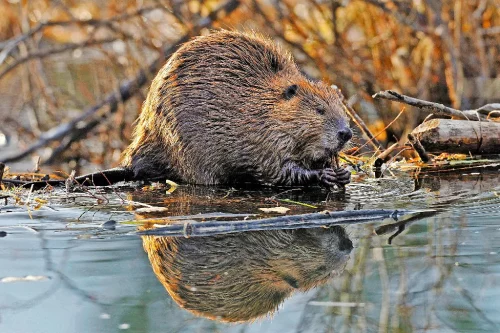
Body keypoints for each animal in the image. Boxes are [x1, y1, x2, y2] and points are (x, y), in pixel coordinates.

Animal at [119, 29, 352, 187]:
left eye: (343, 111)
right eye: (319, 110)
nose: (346, 133)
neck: (262, 107)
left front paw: (342, 173)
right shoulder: (262, 142)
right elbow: (277, 170)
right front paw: (324, 174)